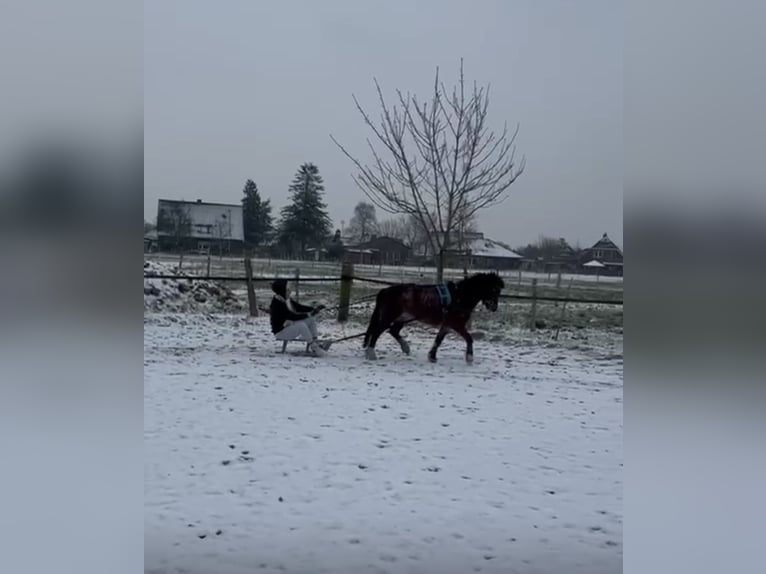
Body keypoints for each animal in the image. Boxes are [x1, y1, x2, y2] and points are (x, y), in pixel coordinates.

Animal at [362, 272, 505, 363]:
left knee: (393, 331)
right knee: (377, 332)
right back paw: (371, 353)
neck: (459, 297)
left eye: (499, 291)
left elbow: (438, 340)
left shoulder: (447, 325)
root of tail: (385, 290)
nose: (494, 307)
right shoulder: (456, 324)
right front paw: (469, 358)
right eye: (494, 289)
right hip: (389, 317)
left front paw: (432, 356)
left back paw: (405, 348)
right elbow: (469, 338)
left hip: (401, 318)